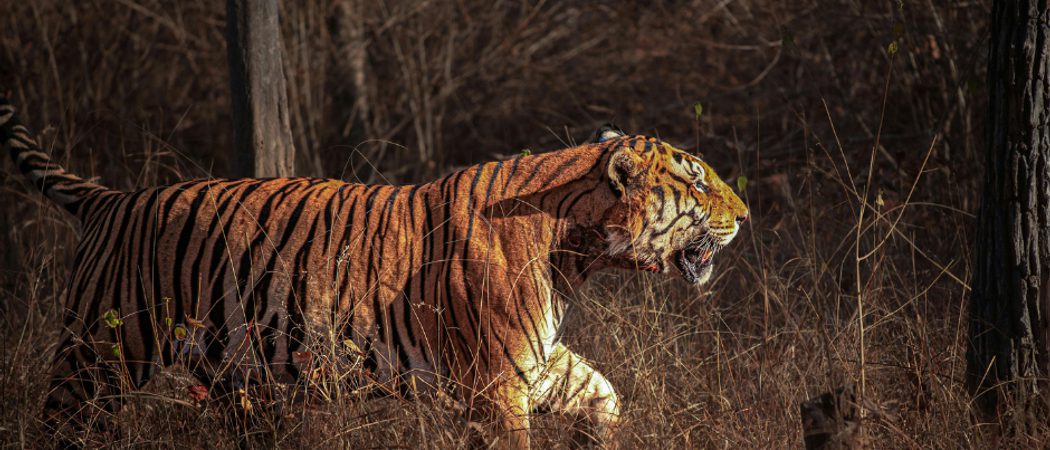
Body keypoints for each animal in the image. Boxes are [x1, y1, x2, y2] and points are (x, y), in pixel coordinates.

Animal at [1, 96, 748, 449]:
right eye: (695, 179)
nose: (745, 214)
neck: (577, 250)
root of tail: (110, 198)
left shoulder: (536, 366)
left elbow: (605, 394)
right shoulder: (497, 385)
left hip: (233, 379)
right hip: (96, 358)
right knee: (57, 425)